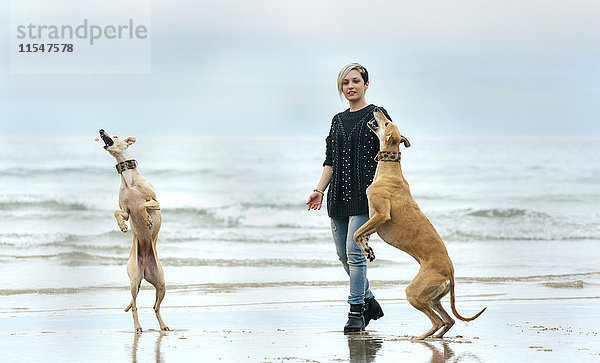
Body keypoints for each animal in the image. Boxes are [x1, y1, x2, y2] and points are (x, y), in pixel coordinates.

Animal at [99, 131, 169, 332]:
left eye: (115, 136)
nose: (101, 131)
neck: (129, 181)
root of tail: (144, 271)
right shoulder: (126, 211)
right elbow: (117, 212)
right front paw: (122, 226)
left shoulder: (156, 202)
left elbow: (144, 204)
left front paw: (147, 219)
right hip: (134, 280)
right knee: (136, 306)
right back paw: (138, 326)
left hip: (161, 284)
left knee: (155, 307)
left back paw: (163, 325)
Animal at [354, 111, 486, 342]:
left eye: (387, 122)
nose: (377, 110)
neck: (389, 172)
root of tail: (450, 272)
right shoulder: (375, 221)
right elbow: (361, 235)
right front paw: (368, 250)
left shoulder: (381, 215)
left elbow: (355, 234)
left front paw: (366, 249)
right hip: (433, 297)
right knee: (448, 320)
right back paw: (434, 337)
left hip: (414, 293)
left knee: (438, 320)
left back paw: (421, 337)